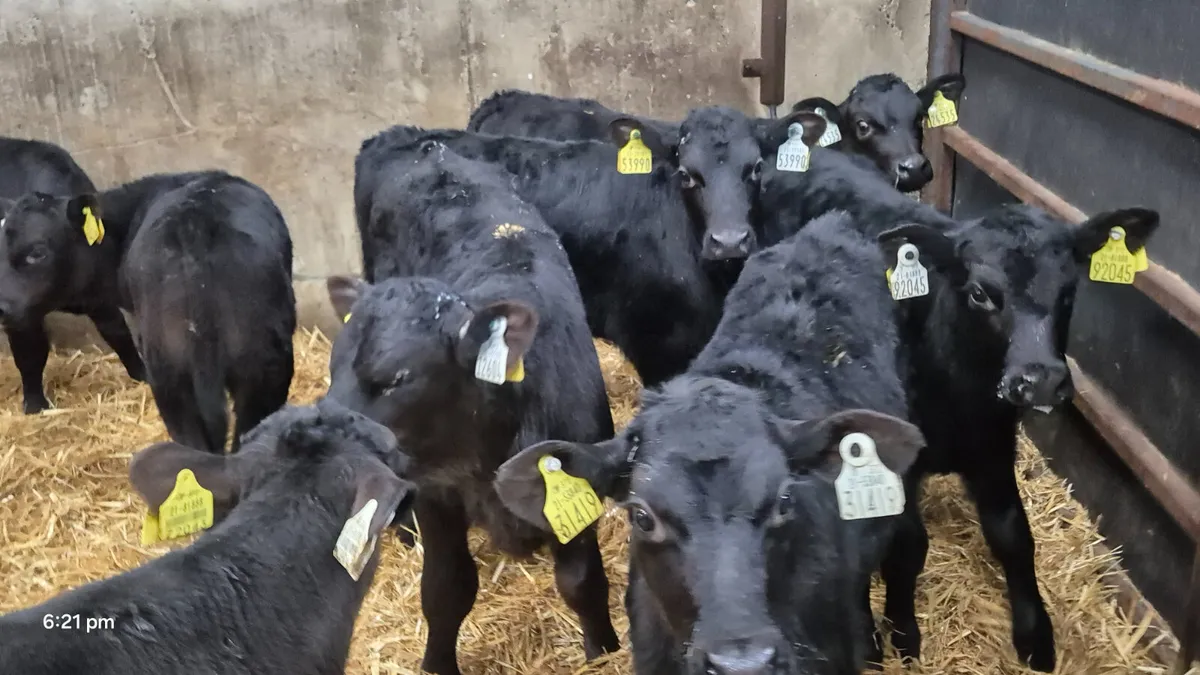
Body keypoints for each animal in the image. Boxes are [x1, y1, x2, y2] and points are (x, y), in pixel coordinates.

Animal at [0, 136, 145, 414]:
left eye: (38, 252)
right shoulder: (21, 314)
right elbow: (29, 354)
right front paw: (35, 405)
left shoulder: (100, 293)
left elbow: (118, 335)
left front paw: (141, 375)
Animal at [326, 141, 621, 675]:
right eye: (334, 366)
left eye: (398, 378)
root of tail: (430, 148)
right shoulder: (436, 494)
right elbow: (446, 589)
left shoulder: (575, 483)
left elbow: (583, 581)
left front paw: (603, 651)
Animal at [872, 205, 1161, 671]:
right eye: (979, 294)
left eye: (1068, 292)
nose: (1041, 381)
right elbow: (908, 545)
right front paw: (902, 632)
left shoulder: (993, 449)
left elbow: (1013, 535)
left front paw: (1035, 635)